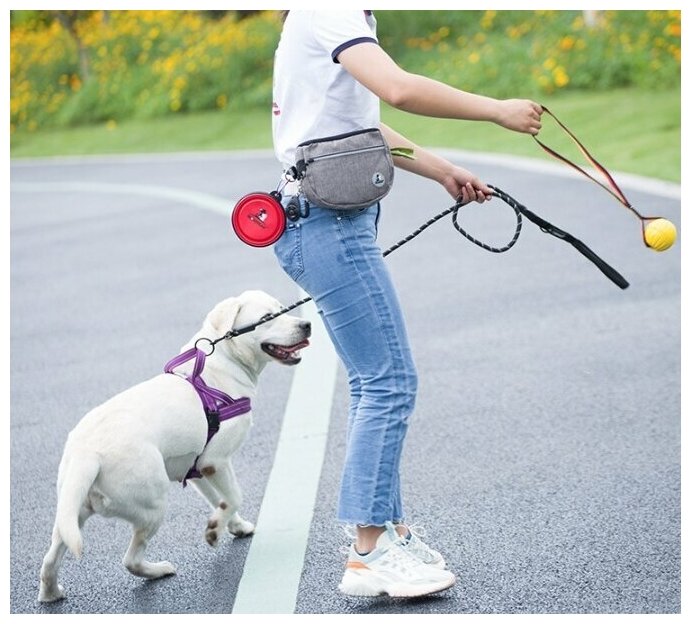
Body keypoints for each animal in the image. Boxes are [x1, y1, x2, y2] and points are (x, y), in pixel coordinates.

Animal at [36, 290, 310, 604]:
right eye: (267, 318)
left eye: (283, 309)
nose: (307, 325)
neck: (222, 365)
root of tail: (87, 454)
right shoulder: (216, 461)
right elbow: (235, 497)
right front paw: (215, 531)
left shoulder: (197, 468)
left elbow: (220, 500)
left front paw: (233, 525)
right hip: (152, 506)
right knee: (130, 560)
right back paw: (159, 570)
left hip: (71, 512)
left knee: (49, 560)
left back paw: (51, 594)